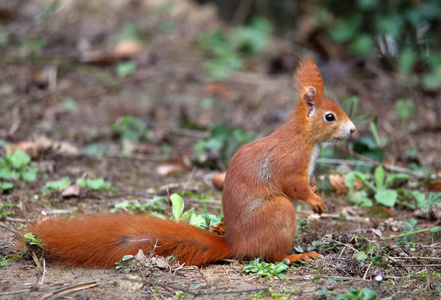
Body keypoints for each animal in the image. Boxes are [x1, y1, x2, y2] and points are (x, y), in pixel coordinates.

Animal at [30, 57, 354, 268]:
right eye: (330, 117)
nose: (353, 130)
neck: (304, 137)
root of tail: (237, 244)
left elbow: (307, 181)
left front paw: (316, 189)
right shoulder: (289, 161)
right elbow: (293, 184)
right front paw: (316, 201)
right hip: (278, 212)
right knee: (271, 256)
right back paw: (296, 255)